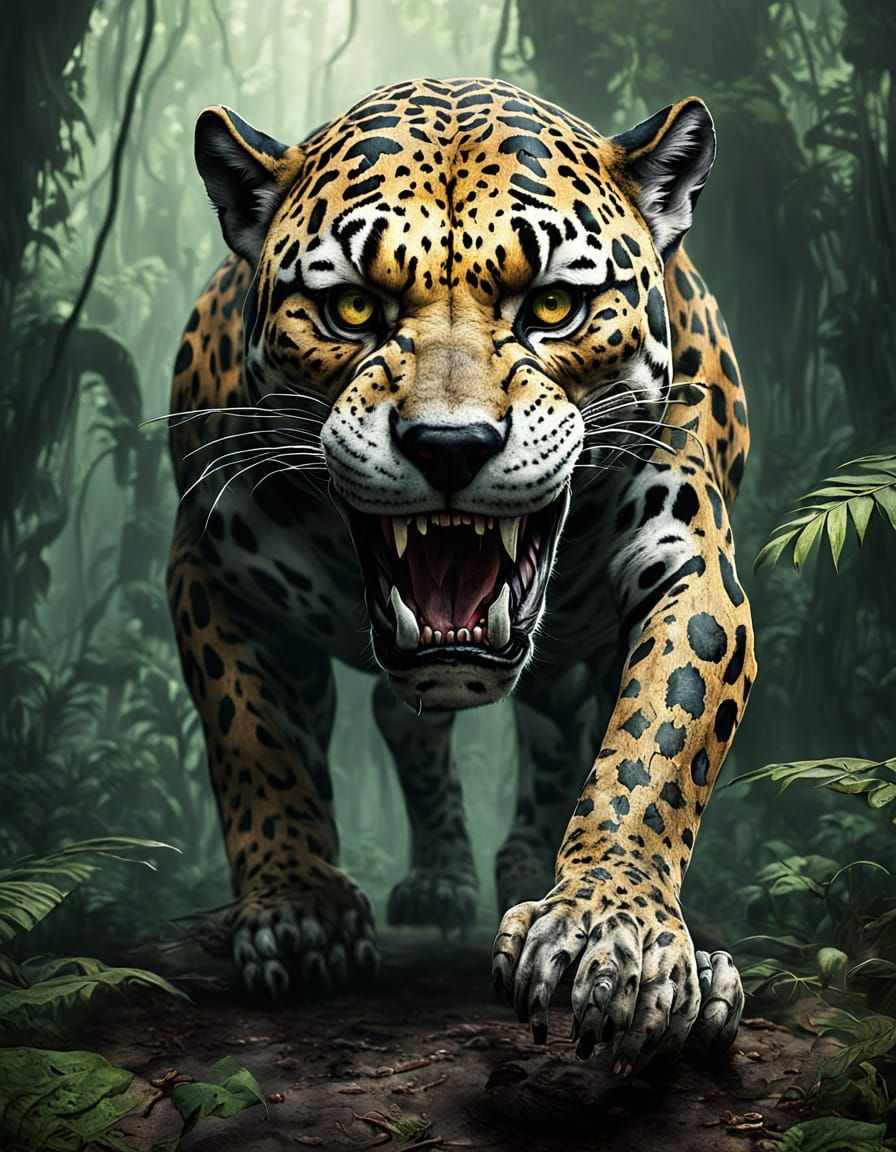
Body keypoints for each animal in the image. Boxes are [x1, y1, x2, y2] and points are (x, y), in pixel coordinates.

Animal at [167, 76, 756, 1072]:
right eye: (352, 309)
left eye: (553, 307)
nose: (451, 445)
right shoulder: (207, 564)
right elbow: (254, 740)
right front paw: (299, 909)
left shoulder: (693, 564)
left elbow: (654, 753)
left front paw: (611, 932)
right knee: (390, 717)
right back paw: (439, 880)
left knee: (554, 724)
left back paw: (524, 862)